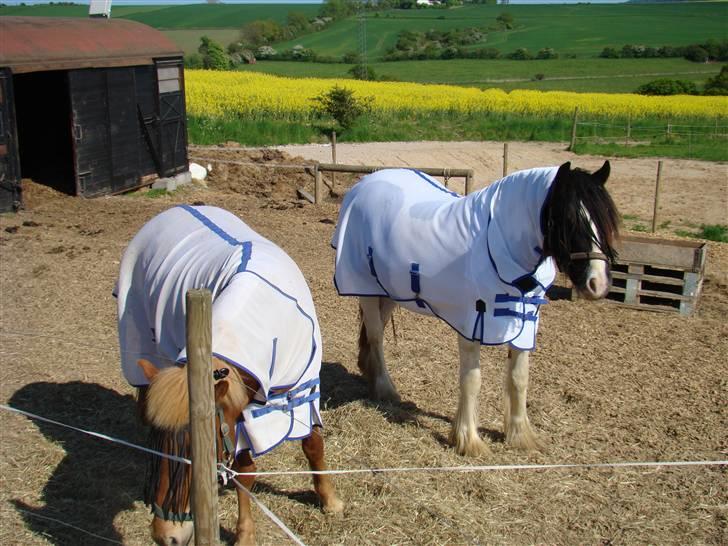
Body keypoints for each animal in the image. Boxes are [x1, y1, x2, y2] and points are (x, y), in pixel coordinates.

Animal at [116, 205, 344, 544]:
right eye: (158, 451)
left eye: (200, 452)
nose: (166, 536)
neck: (263, 319)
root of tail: (174, 209)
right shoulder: (239, 415)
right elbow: (244, 472)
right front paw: (245, 533)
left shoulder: (302, 392)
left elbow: (313, 445)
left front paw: (330, 500)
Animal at [332, 160, 620, 454]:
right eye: (570, 219)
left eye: (606, 220)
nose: (598, 284)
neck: (498, 242)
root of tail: (363, 185)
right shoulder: (472, 322)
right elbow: (472, 380)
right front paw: (468, 440)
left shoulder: (526, 320)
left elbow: (519, 377)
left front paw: (520, 435)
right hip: (365, 287)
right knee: (376, 336)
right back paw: (385, 389)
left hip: (389, 290)